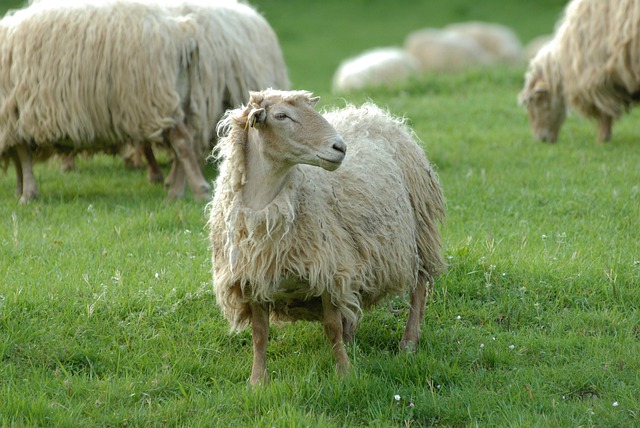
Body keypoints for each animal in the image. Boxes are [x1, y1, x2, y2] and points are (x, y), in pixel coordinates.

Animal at [0, 0, 210, 202]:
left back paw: (196, 191)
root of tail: (182, 33)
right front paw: (20, 191)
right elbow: (18, 158)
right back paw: (178, 191)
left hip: (153, 100)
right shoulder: (12, 121)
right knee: (186, 141)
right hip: (177, 98)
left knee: (181, 141)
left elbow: (23, 156)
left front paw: (27, 195)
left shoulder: (15, 117)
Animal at [209, 88, 444, 386]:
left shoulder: (329, 271)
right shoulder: (252, 278)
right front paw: (257, 382)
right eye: (281, 116)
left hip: (418, 232)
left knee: (419, 286)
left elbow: (331, 328)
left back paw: (409, 342)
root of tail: (373, 113)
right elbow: (260, 335)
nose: (340, 148)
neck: (263, 208)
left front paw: (344, 374)